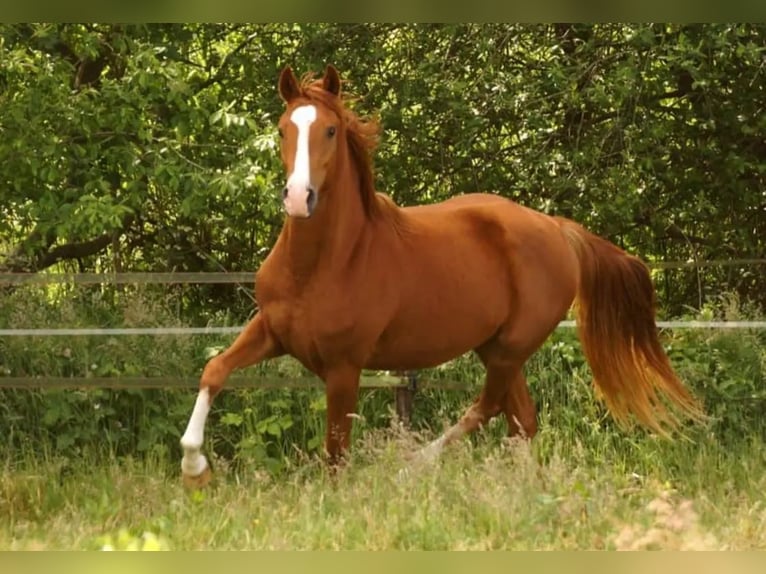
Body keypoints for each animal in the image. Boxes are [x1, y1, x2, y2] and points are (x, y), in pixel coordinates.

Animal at [178, 65, 704, 488]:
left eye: (329, 129)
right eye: (283, 128)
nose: (298, 197)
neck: (321, 264)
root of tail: (558, 228)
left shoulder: (345, 366)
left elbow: (336, 451)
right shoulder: (271, 331)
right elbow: (214, 370)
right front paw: (194, 468)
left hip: (511, 347)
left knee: (488, 408)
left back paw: (413, 465)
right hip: (496, 347)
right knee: (522, 420)